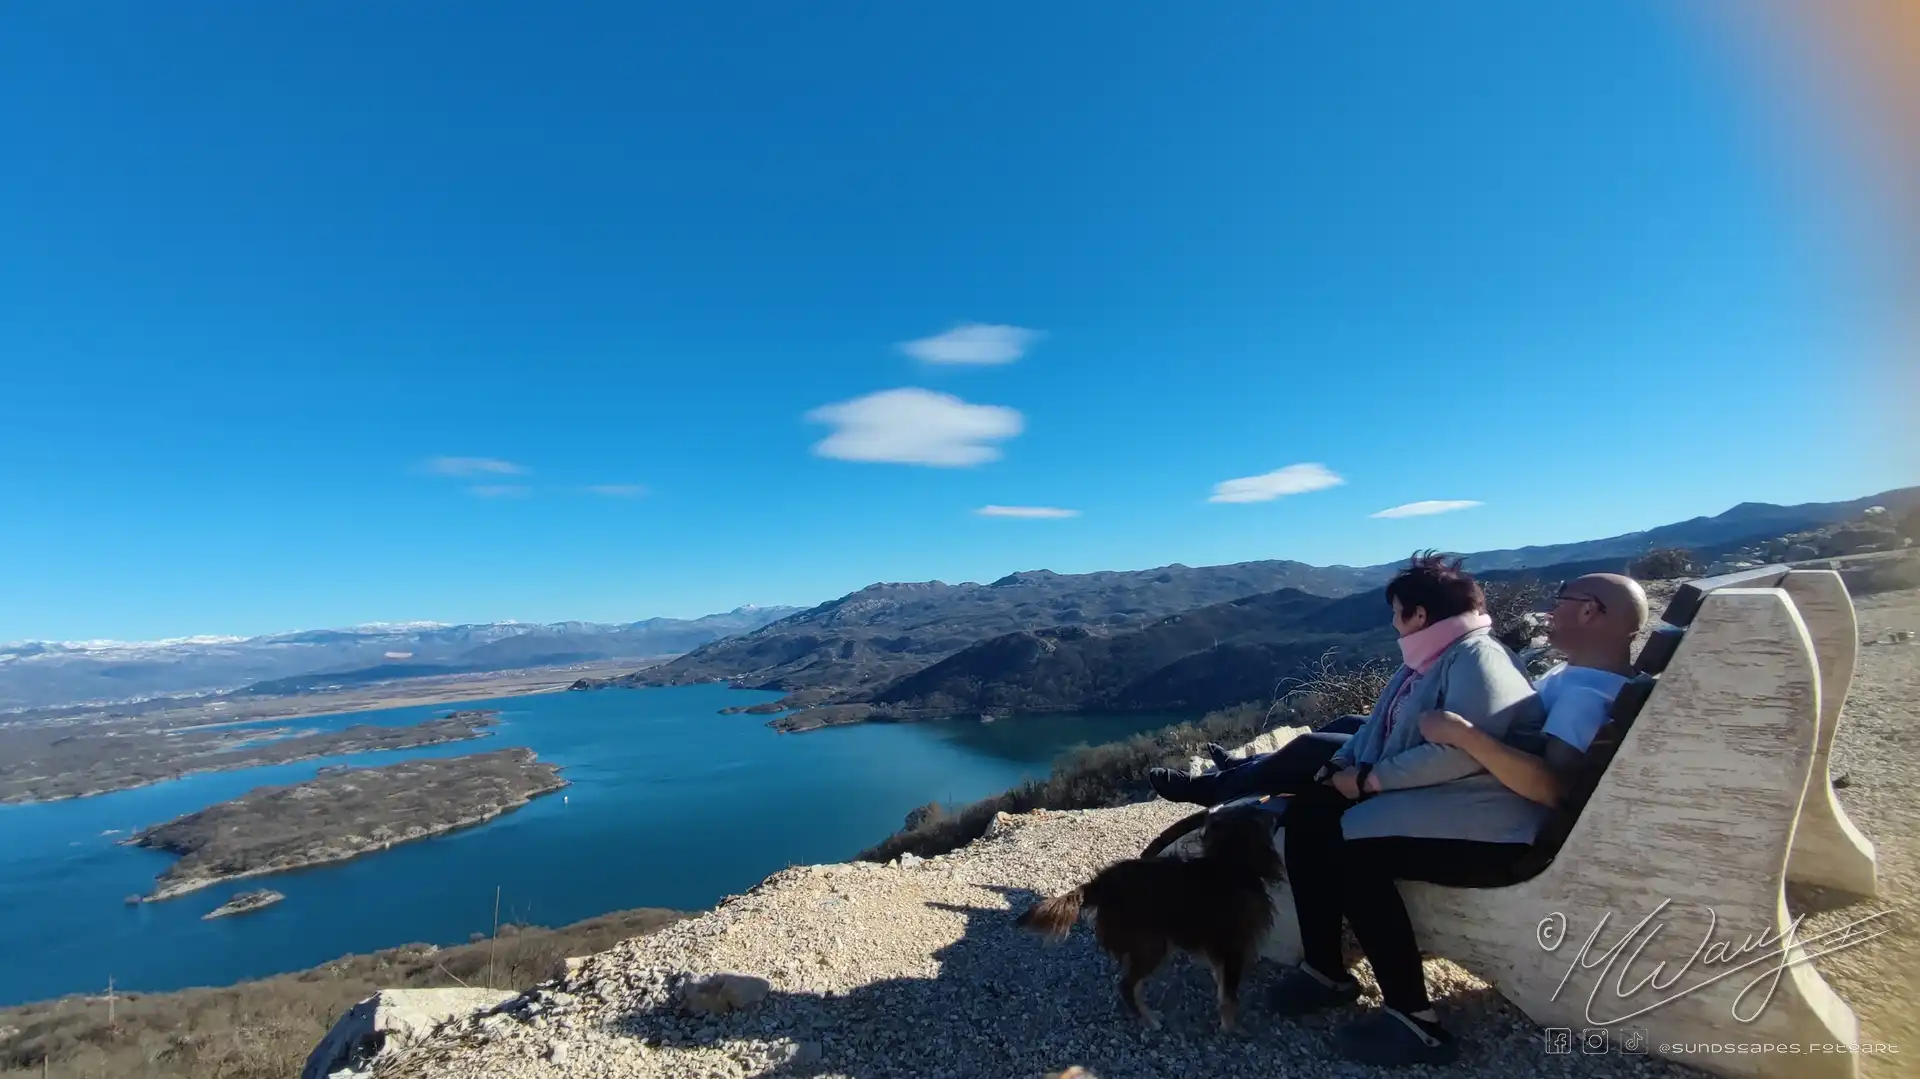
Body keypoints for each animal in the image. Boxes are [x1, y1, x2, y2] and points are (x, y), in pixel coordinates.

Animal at [1013, 806, 1282, 1021]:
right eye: (1260, 815)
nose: (1274, 812)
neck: (1229, 862)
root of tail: (1101, 883)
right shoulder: (1234, 945)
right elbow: (1230, 995)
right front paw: (1232, 1028)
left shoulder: (1218, 947)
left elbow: (1222, 985)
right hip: (1152, 944)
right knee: (1127, 986)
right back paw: (1149, 1019)